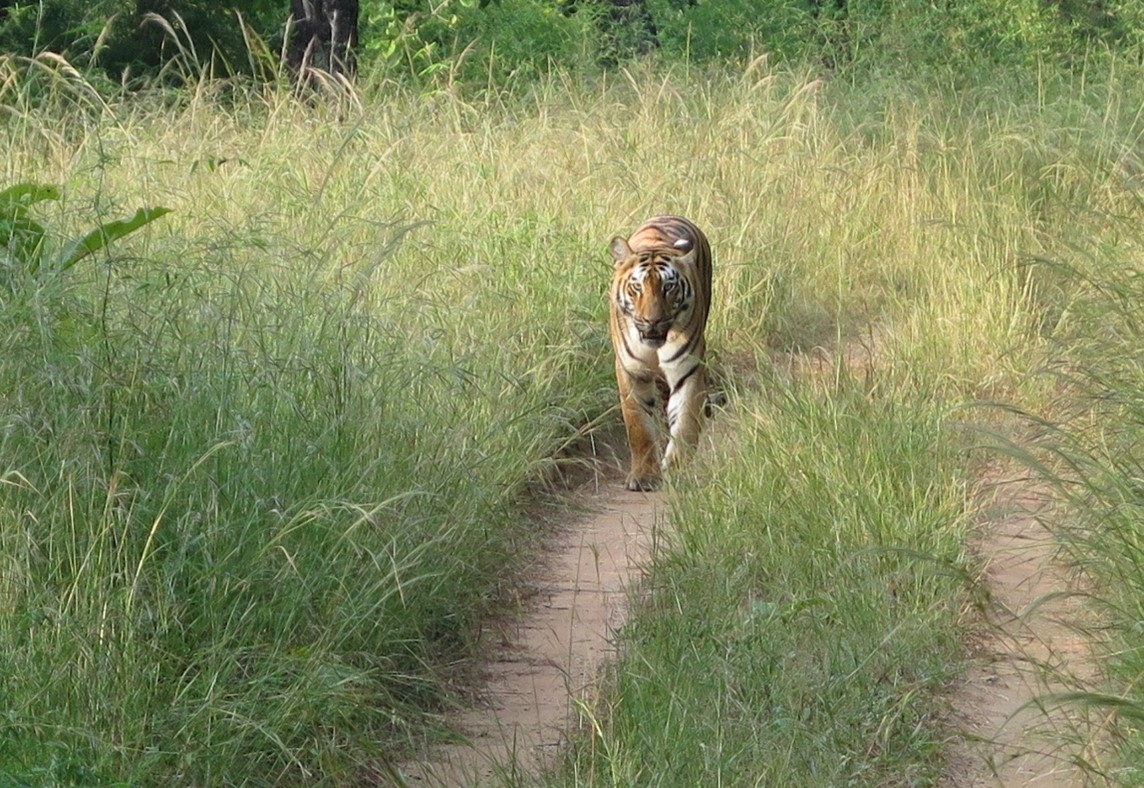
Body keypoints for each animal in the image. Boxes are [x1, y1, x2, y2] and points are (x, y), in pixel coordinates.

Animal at [608, 211, 713, 489]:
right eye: (637, 287)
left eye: (669, 287)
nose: (652, 321)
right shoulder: (630, 370)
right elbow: (639, 427)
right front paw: (644, 476)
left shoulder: (687, 369)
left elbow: (685, 422)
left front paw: (678, 470)